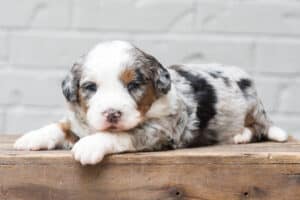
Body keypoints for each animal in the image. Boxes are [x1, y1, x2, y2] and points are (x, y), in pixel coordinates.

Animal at [14, 39, 288, 165]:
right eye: (90, 87)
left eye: (133, 85)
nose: (112, 113)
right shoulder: (79, 121)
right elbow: (61, 125)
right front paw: (30, 138)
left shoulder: (161, 130)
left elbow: (120, 133)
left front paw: (89, 146)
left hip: (252, 108)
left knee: (259, 128)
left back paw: (241, 135)